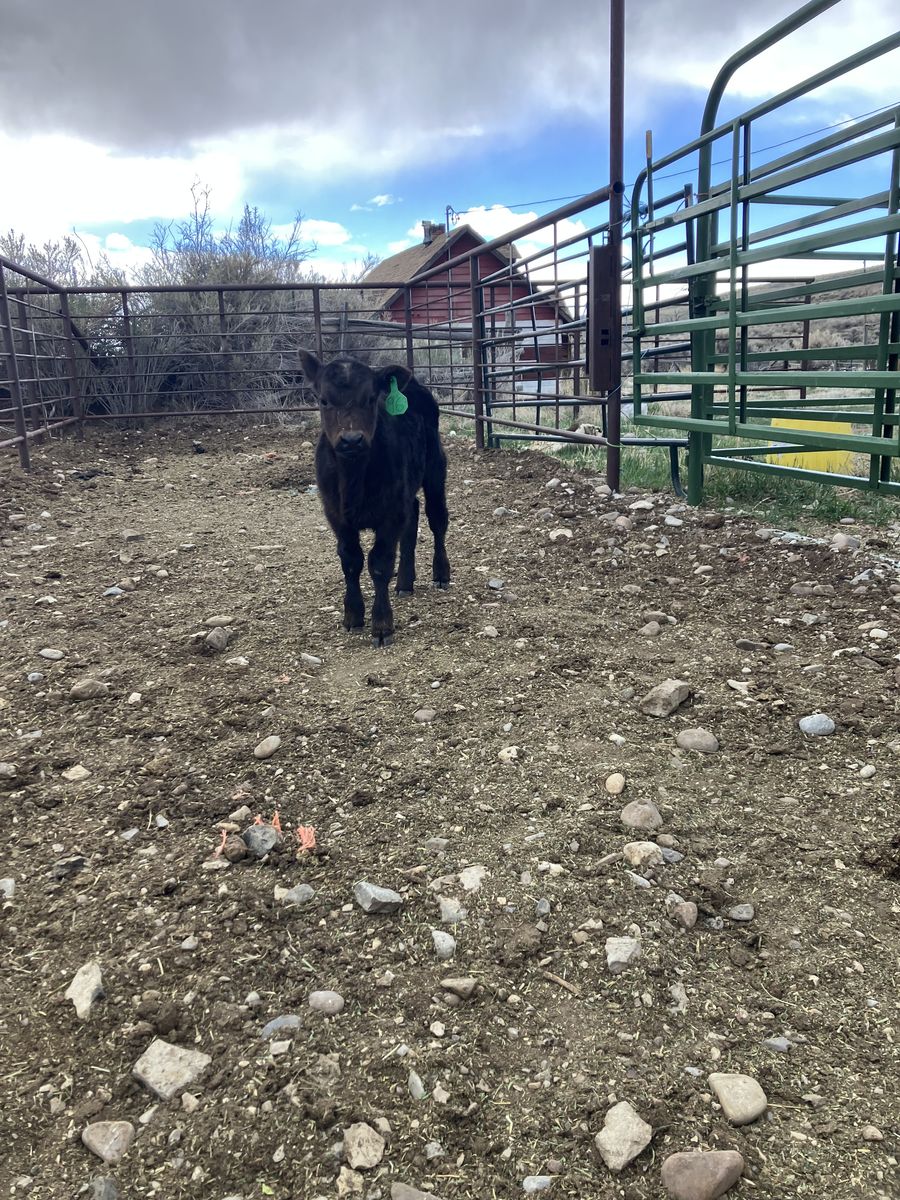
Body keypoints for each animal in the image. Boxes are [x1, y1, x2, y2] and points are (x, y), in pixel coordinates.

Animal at [298, 352, 450, 648]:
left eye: (370, 398)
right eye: (323, 400)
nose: (351, 439)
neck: (354, 479)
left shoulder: (390, 513)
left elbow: (379, 563)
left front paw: (382, 625)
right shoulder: (336, 515)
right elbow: (351, 560)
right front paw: (353, 615)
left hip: (435, 468)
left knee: (437, 519)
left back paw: (441, 573)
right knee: (412, 518)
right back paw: (404, 583)